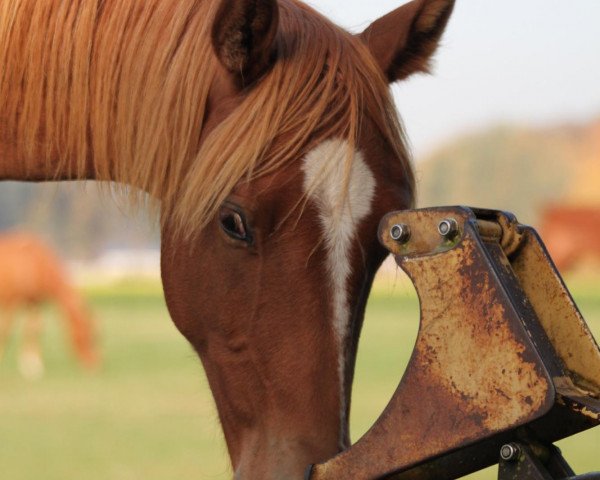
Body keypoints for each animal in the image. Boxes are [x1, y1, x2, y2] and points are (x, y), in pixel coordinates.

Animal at [0, 233, 99, 378]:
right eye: (89, 335)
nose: (94, 366)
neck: (35, 262)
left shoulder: (34, 303)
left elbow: (34, 330)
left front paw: (33, 367)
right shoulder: (11, 301)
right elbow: (5, 331)